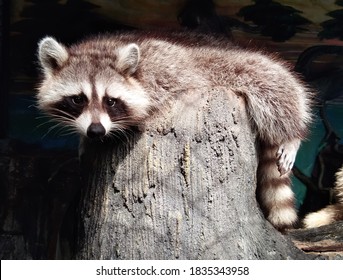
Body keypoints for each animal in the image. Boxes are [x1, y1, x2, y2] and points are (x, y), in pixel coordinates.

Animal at [36, 31, 314, 232]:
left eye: (111, 101)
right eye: (78, 100)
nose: (95, 130)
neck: (106, 46)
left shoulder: (167, 69)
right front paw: (84, 140)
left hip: (225, 64)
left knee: (269, 78)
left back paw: (293, 134)